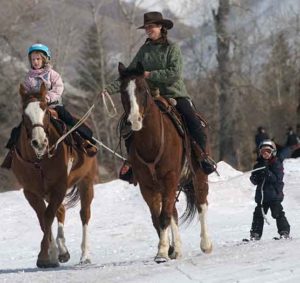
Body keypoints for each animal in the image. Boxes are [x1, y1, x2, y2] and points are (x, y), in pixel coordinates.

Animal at [10, 84, 96, 268]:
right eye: (24, 115)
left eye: (46, 112)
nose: (39, 142)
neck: (39, 160)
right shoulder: (31, 192)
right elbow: (43, 219)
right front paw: (52, 254)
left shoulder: (59, 186)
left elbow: (48, 216)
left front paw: (43, 256)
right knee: (61, 210)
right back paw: (62, 250)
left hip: (86, 181)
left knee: (84, 214)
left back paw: (85, 255)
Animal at [118, 62, 213, 264]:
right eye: (123, 91)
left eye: (143, 89)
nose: (134, 121)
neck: (151, 142)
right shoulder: (147, 186)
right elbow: (158, 218)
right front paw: (165, 250)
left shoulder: (170, 178)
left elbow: (164, 217)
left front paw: (162, 253)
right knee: (173, 213)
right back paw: (176, 249)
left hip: (199, 174)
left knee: (201, 203)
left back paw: (206, 244)